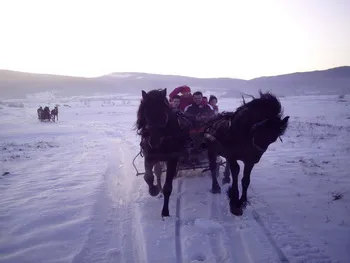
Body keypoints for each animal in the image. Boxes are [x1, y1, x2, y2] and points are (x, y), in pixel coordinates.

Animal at [136, 89, 191, 218]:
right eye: (146, 114)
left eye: (164, 114)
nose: (154, 141)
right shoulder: (149, 156)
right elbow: (148, 177)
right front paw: (154, 190)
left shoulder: (172, 158)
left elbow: (168, 187)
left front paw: (165, 212)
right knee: (157, 172)